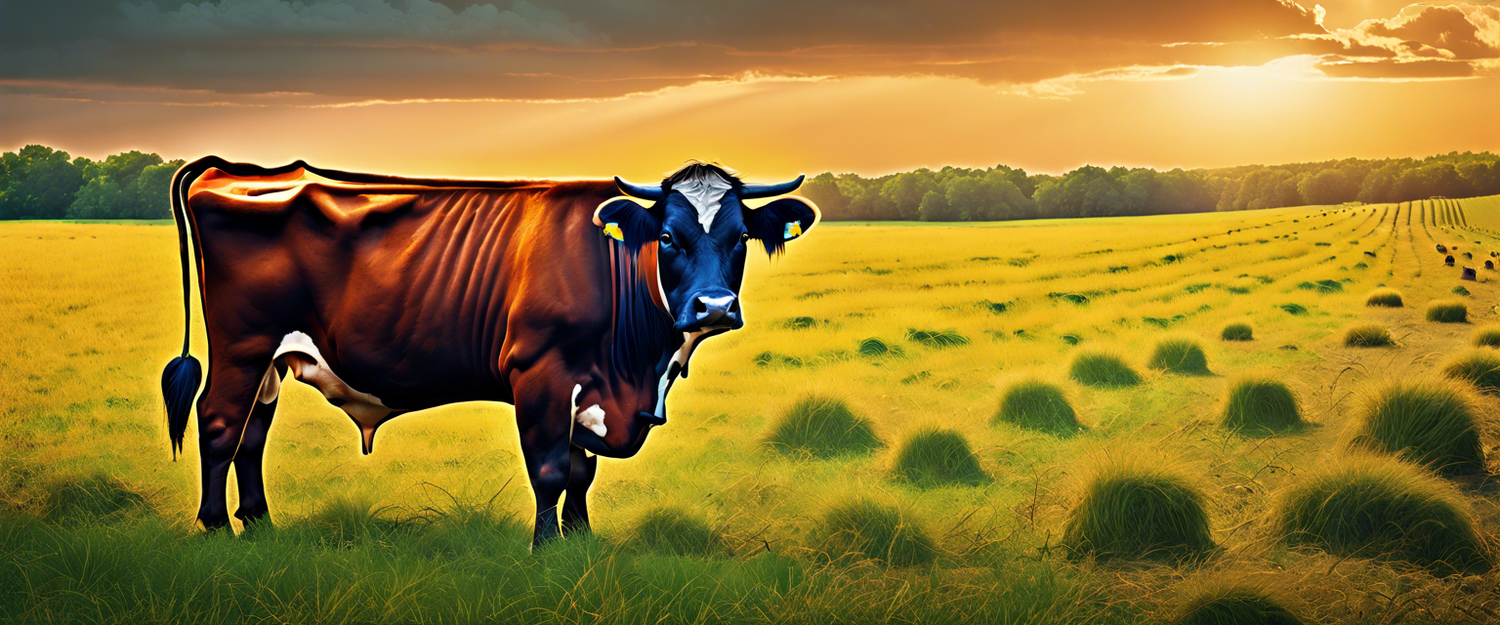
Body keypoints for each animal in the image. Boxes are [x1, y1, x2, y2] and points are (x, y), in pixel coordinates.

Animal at [159, 157, 818, 547]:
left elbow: (583, 472)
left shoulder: (591, 388)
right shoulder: (542, 374)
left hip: (269, 359)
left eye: (741, 236)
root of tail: (241, 168)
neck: (638, 368)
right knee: (219, 423)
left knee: (252, 432)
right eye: (667, 237)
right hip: (243, 345)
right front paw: (546, 551)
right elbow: (551, 470)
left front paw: (580, 543)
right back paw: (216, 530)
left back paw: (260, 525)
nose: (714, 307)